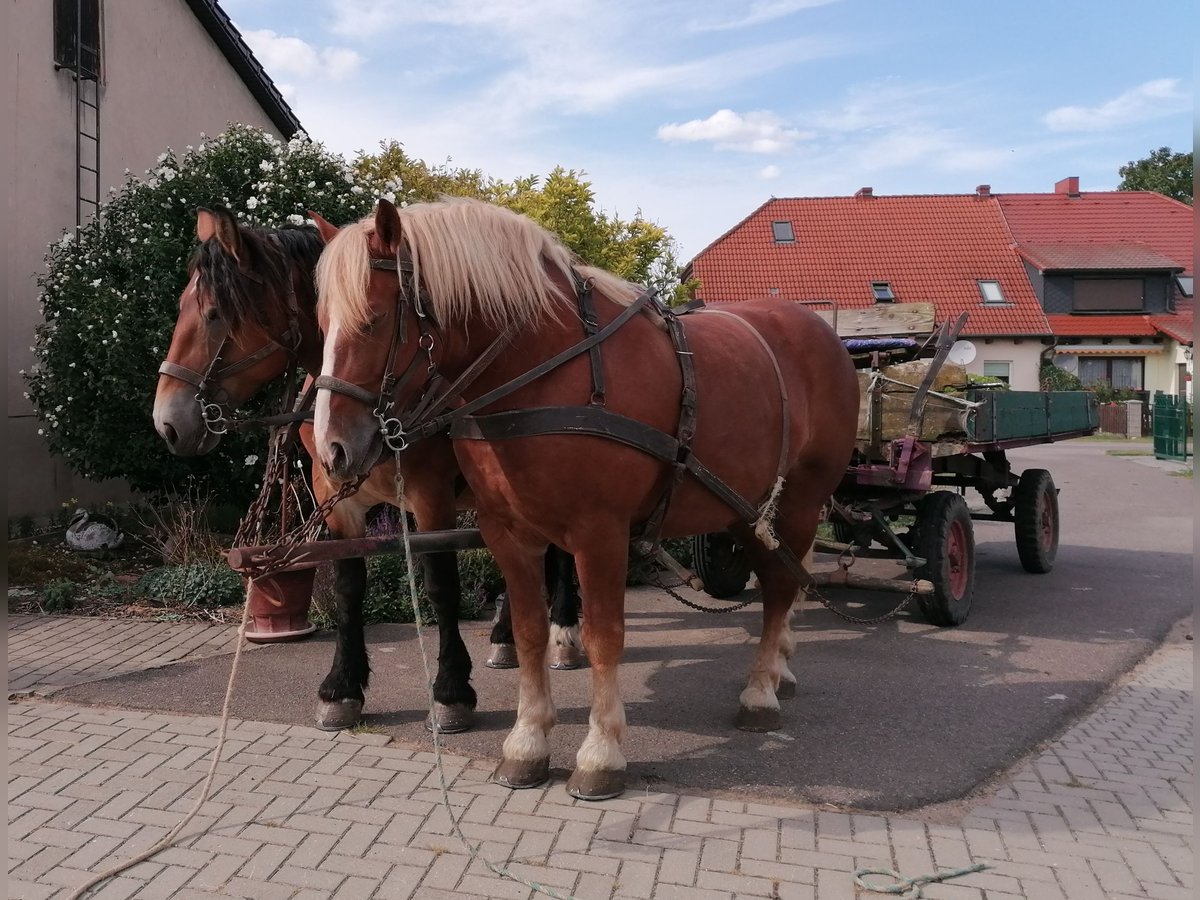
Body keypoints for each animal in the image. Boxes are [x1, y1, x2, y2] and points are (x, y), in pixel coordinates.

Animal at [152, 207, 583, 734]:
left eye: (214, 314)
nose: (167, 422)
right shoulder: (336, 495)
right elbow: (347, 585)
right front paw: (342, 686)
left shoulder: (431, 497)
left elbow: (441, 585)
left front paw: (451, 691)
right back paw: (505, 637)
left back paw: (563, 632)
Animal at [312, 199, 864, 801]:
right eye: (320, 323)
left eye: (373, 319)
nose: (331, 449)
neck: (549, 368)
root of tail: (819, 329)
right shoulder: (508, 533)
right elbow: (529, 633)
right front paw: (526, 742)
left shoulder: (600, 534)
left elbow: (604, 637)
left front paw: (601, 752)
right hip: (749, 506)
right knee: (781, 579)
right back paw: (780, 670)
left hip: (800, 499)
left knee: (781, 588)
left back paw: (761, 690)